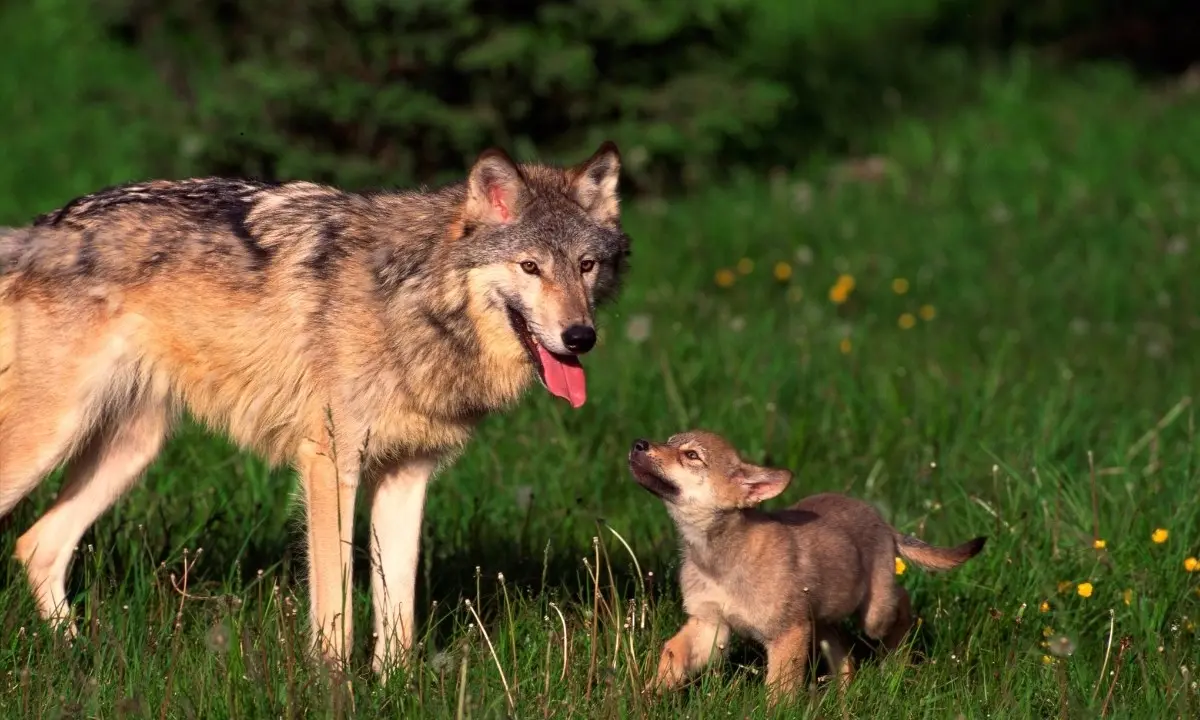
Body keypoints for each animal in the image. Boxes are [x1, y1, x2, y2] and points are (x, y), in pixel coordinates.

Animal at [0, 142, 633, 676]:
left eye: (585, 266)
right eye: (530, 266)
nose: (581, 337)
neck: (412, 301)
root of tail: (40, 227)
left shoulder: (407, 475)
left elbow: (398, 611)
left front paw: (395, 687)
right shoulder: (331, 465)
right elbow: (336, 606)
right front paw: (333, 687)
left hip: (131, 451)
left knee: (38, 544)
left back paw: (82, 656)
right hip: (48, 443)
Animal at [628, 432, 984, 700]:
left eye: (691, 455)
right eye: (669, 439)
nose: (638, 443)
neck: (717, 558)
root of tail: (883, 523)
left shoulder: (788, 632)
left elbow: (779, 690)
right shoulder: (708, 626)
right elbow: (672, 657)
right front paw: (648, 697)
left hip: (873, 615)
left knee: (902, 605)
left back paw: (897, 662)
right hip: (823, 619)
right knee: (846, 656)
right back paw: (843, 697)